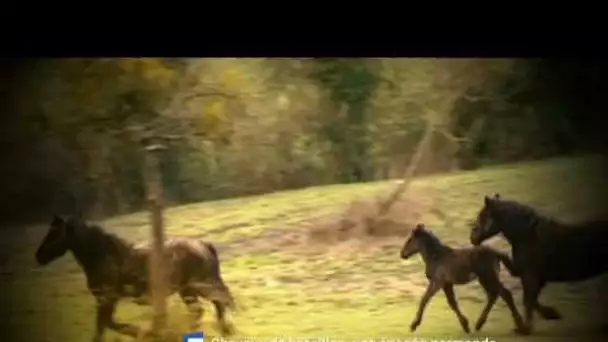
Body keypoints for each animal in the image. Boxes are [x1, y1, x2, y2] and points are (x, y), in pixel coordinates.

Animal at [34, 215, 236, 342]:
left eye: (55, 233)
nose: (39, 256)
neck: (104, 256)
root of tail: (203, 244)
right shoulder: (106, 300)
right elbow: (106, 326)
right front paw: (147, 333)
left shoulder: (107, 299)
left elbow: (106, 326)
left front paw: (143, 333)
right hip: (188, 290)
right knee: (204, 308)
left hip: (202, 285)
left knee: (220, 301)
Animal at [400, 224, 528, 334]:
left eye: (410, 239)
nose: (402, 254)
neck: (437, 257)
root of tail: (496, 253)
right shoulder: (447, 284)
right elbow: (452, 303)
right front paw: (465, 325)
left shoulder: (437, 282)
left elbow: (424, 299)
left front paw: (414, 325)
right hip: (484, 279)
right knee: (493, 295)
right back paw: (479, 325)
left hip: (488, 277)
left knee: (505, 294)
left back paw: (521, 326)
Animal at [470, 195, 608, 334]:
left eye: (482, 216)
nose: (472, 238)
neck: (529, 235)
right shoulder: (533, 276)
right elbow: (532, 300)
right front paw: (550, 314)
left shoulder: (530, 276)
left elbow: (529, 300)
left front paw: (526, 328)